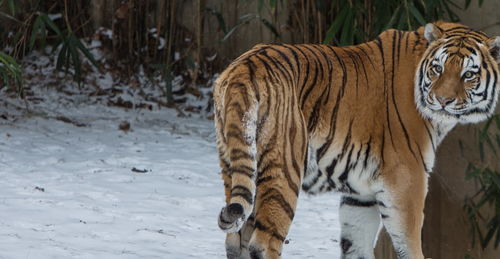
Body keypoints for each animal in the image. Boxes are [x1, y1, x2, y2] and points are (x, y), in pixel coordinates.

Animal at [214, 22, 500, 259]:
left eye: (468, 75)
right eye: (438, 69)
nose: (442, 100)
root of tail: (243, 68)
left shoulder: (360, 195)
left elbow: (356, 245)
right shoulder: (407, 181)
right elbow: (409, 244)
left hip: (235, 163)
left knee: (234, 239)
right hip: (285, 169)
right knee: (263, 243)